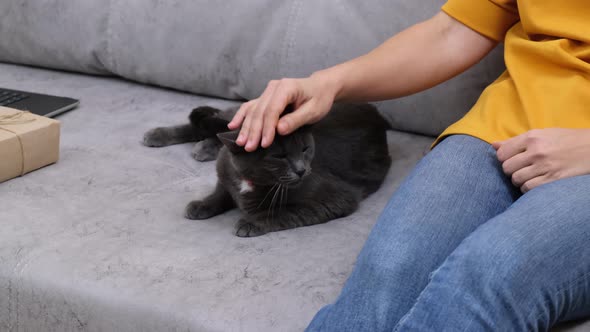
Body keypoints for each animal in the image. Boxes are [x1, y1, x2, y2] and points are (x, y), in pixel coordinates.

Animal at [143, 103, 394, 236]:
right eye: (279, 156)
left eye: (305, 149)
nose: (302, 170)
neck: (250, 181)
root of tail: (375, 111)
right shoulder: (225, 174)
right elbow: (220, 192)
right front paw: (201, 204)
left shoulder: (337, 197)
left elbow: (285, 212)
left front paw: (251, 222)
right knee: (219, 121)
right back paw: (158, 134)